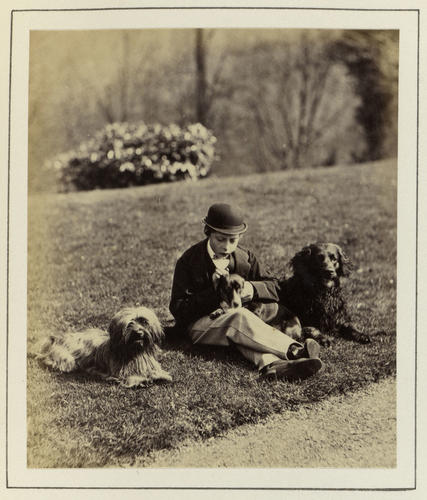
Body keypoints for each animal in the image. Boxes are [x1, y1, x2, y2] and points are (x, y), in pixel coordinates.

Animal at [35, 306, 172, 388]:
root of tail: (57, 338)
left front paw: (160, 376)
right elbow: (130, 378)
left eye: (143, 321)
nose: (139, 333)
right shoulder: (119, 373)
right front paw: (141, 380)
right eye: (129, 324)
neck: (134, 352)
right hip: (66, 359)